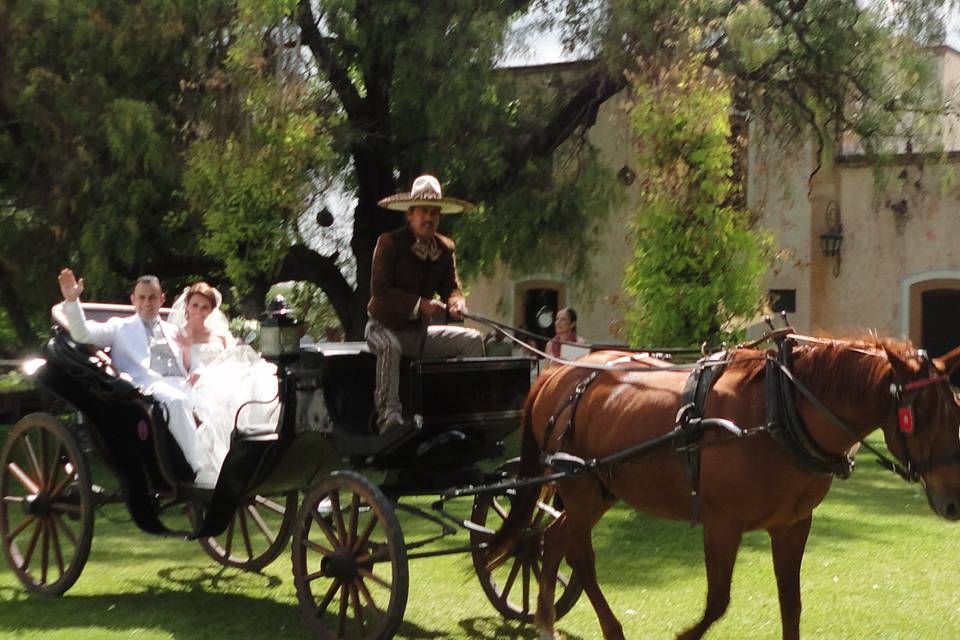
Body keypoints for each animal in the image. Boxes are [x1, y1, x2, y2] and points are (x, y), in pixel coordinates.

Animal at [488, 338, 960, 636]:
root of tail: (559, 374)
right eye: (921, 413)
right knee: (575, 554)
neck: (777, 412)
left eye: (954, 407)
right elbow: (717, 602)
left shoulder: (792, 525)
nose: (953, 501)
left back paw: (547, 621)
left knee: (553, 540)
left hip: (601, 489)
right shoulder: (722, 525)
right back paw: (596, 625)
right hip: (580, 487)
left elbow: (791, 604)